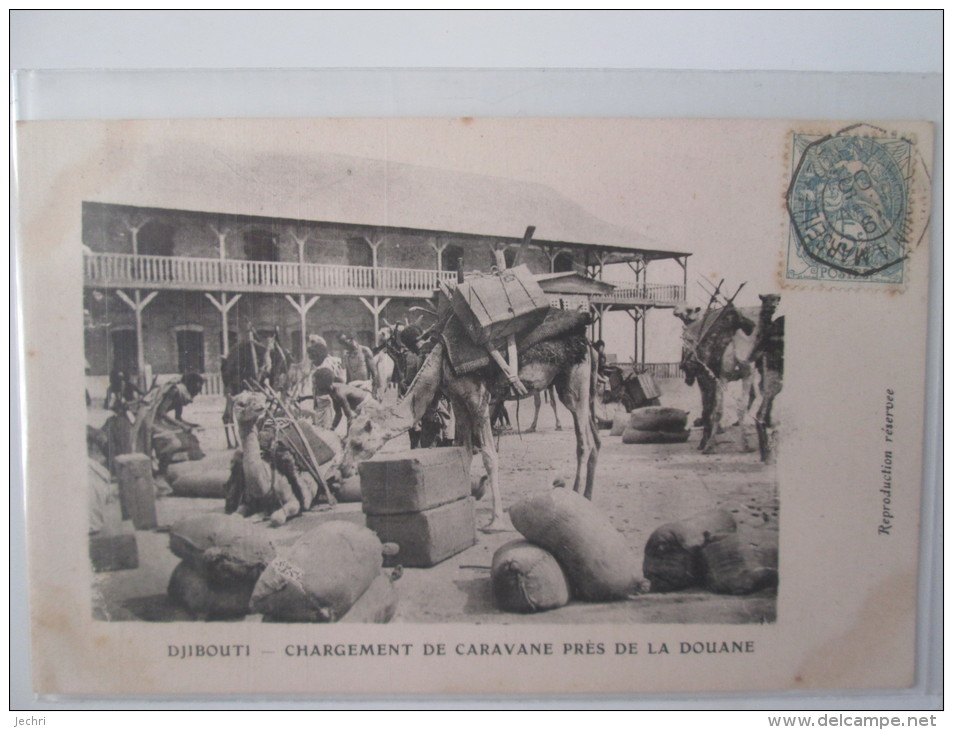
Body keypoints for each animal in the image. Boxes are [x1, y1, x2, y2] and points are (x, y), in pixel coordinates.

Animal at [229, 392, 318, 524]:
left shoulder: (292, 499)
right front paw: (257, 516)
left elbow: (277, 518)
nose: (260, 406)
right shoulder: (248, 502)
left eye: (262, 398)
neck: (265, 486)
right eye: (241, 403)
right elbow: (235, 515)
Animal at [338, 324, 600, 528]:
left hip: (573, 385)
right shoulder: (458, 401)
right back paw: (588, 495)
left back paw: (576, 495)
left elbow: (489, 456)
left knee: (583, 442)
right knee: (594, 439)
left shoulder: (479, 401)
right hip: (576, 388)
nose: (343, 468)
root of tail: (588, 343)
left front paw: (496, 521)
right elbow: (462, 450)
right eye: (345, 440)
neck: (439, 366)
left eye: (358, 443)